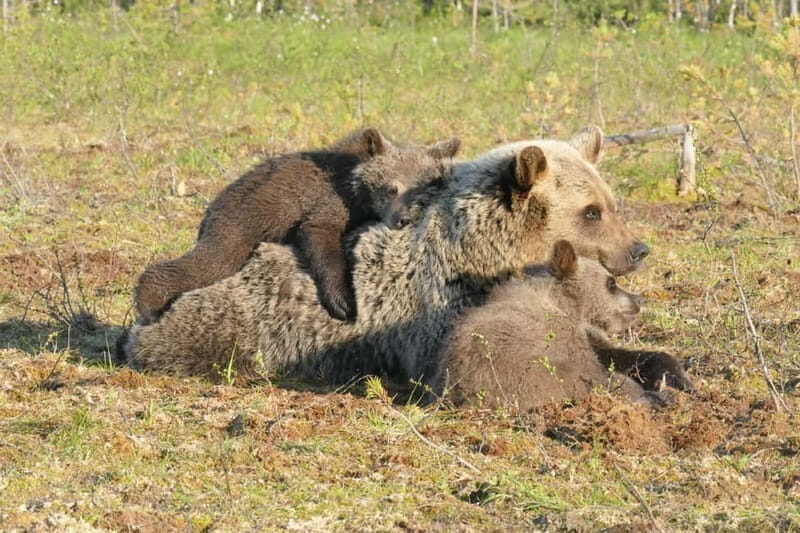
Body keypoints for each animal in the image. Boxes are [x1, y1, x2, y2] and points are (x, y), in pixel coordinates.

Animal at [133, 128, 461, 323]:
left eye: (420, 191)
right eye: (391, 188)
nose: (401, 219)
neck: (357, 190)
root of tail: (212, 206)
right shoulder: (326, 202)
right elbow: (320, 238)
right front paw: (343, 302)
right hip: (239, 223)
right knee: (210, 262)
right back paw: (149, 306)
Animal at [434, 240, 691, 411]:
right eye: (611, 283)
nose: (639, 300)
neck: (568, 307)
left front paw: (676, 378)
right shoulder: (561, 343)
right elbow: (598, 373)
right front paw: (654, 393)